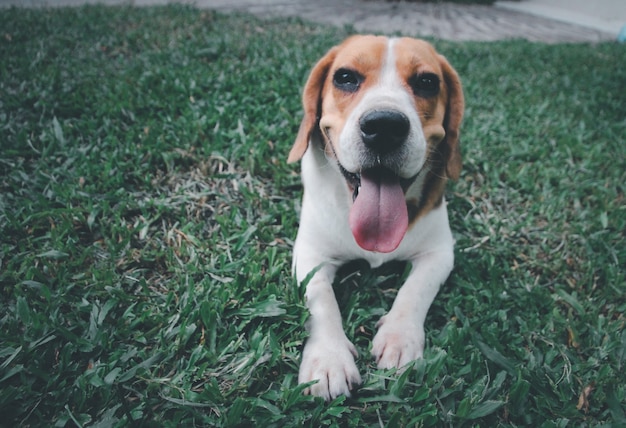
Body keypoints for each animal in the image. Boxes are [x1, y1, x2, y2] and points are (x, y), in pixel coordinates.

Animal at [288, 35, 464, 400]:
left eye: (428, 82)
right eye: (344, 77)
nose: (385, 125)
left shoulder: (440, 253)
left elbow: (416, 290)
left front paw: (399, 341)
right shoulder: (310, 254)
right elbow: (320, 298)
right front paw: (328, 359)